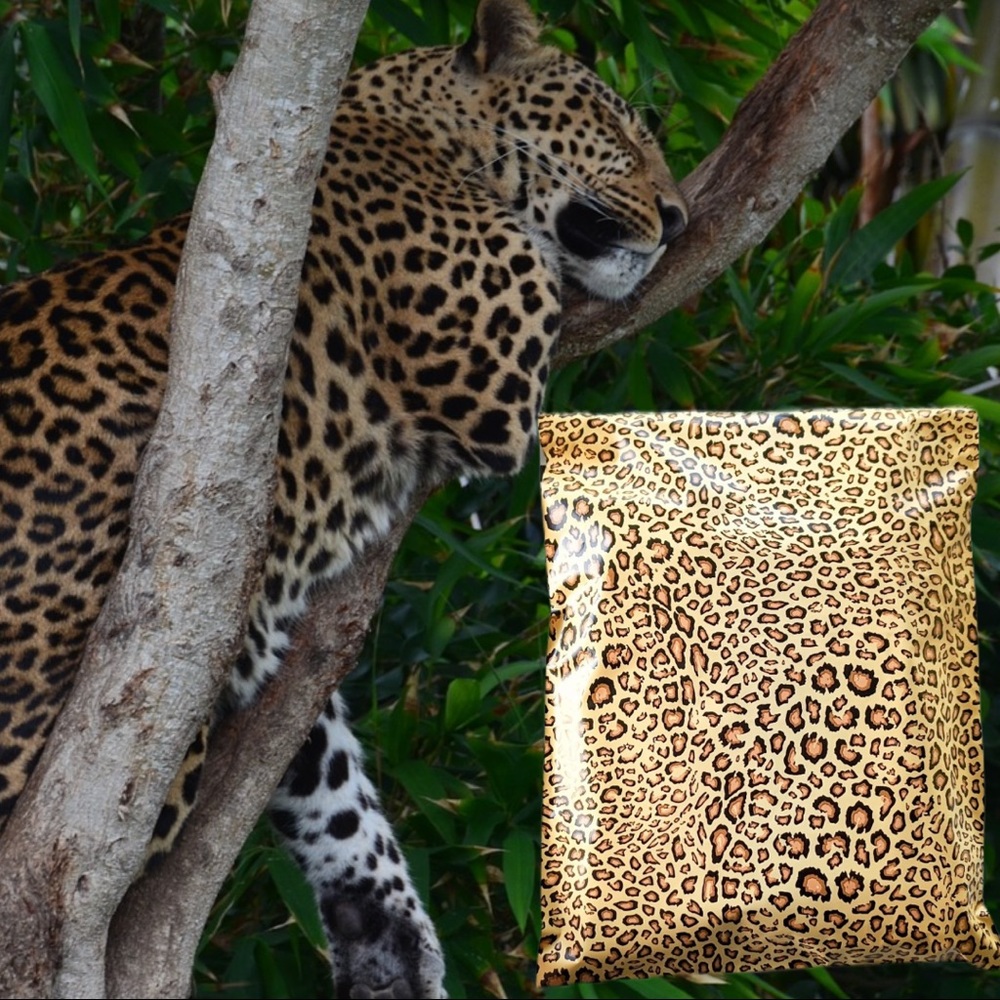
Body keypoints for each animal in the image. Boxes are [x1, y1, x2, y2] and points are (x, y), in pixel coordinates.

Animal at [0, 0, 688, 995]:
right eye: (621, 129)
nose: (678, 218)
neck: (407, 124)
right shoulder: (492, 368)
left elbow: (328, 780)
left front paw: (388, 935)